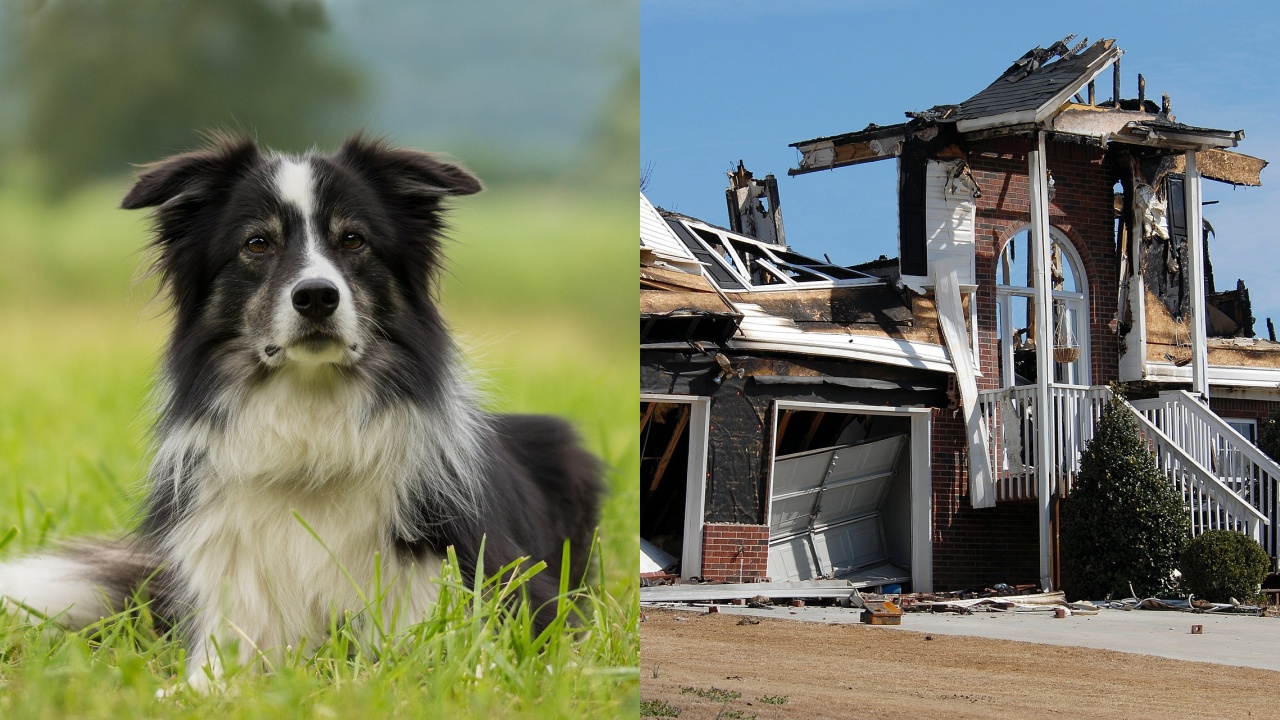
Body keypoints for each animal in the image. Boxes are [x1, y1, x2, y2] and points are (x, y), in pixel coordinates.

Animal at [0, 133, 601, 681]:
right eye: (257, 244)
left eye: (354, 240)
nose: (316, 296)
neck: (311, 435)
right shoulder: (232, 615)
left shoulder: (479, 598)